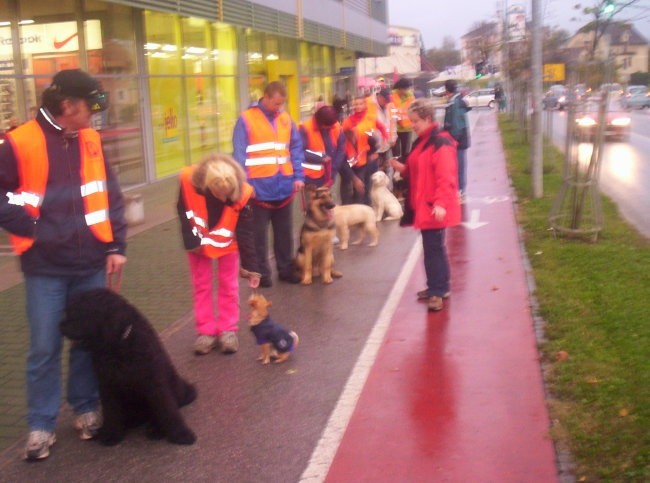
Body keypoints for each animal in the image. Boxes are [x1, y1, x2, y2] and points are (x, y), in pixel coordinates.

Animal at [61, 288, 197, 446]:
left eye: (79, 312)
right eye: (69, 310)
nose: (60, 325)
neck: (120, 344)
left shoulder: (154, 382)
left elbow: (167, 409)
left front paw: (181, 434)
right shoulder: (107, 385)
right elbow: (111, 411)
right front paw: (111, 434)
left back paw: (156, 430)